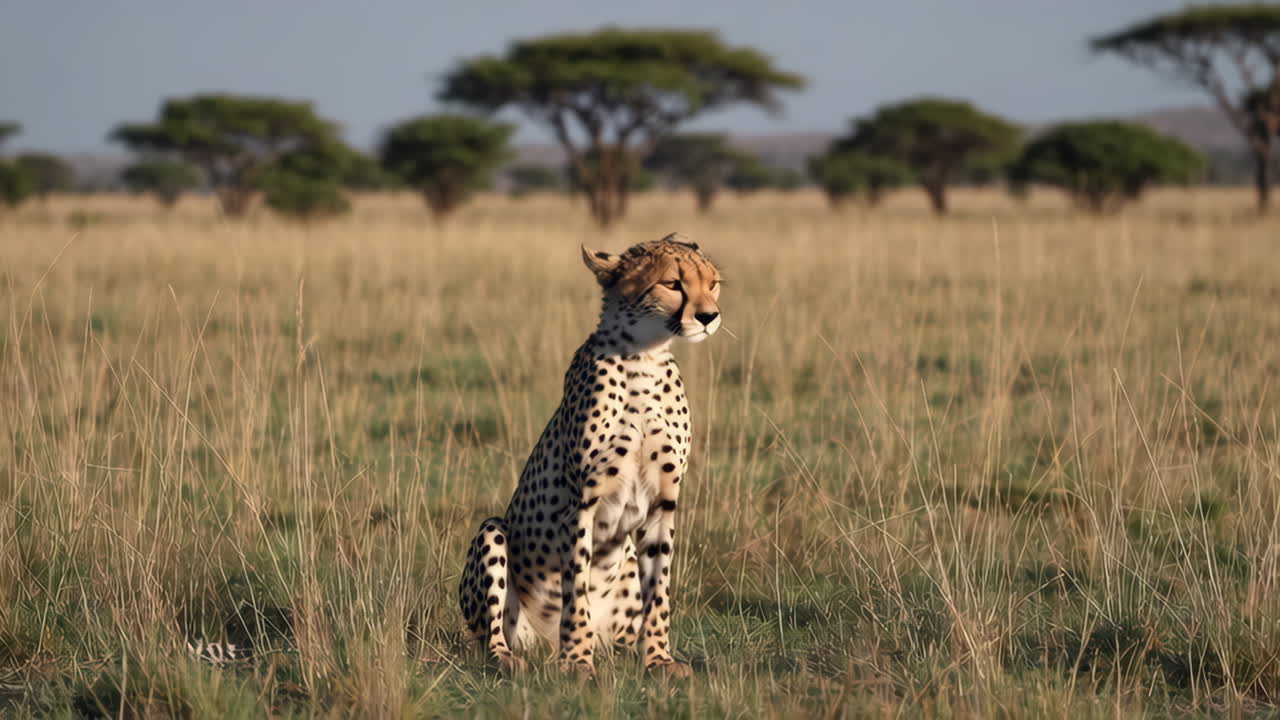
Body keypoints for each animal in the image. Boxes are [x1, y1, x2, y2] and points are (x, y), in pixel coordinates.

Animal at [457, 232, 722, 677]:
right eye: (673, 284)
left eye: (713, 283)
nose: (709, 317)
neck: (644, 357)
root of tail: (543, 646)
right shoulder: (584, 501)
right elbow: (576, 589)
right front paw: (578, 661)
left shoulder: (663, 503)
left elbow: (659, 594)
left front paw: (659, 659)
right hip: (493, 533)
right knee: (490, 635)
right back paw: (515, 658)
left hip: (627, 564)